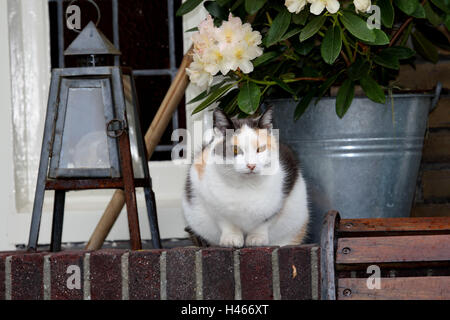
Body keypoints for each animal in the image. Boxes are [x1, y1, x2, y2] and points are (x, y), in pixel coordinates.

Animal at [181, 107, 308, 248]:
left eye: (260, 149)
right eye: (235, 150)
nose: (251, 165)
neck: (246, 185)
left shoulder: (280, 199)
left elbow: (265, 222)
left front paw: (257, 238)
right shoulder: (209, 199)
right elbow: (225, 221)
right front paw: (231, 238)